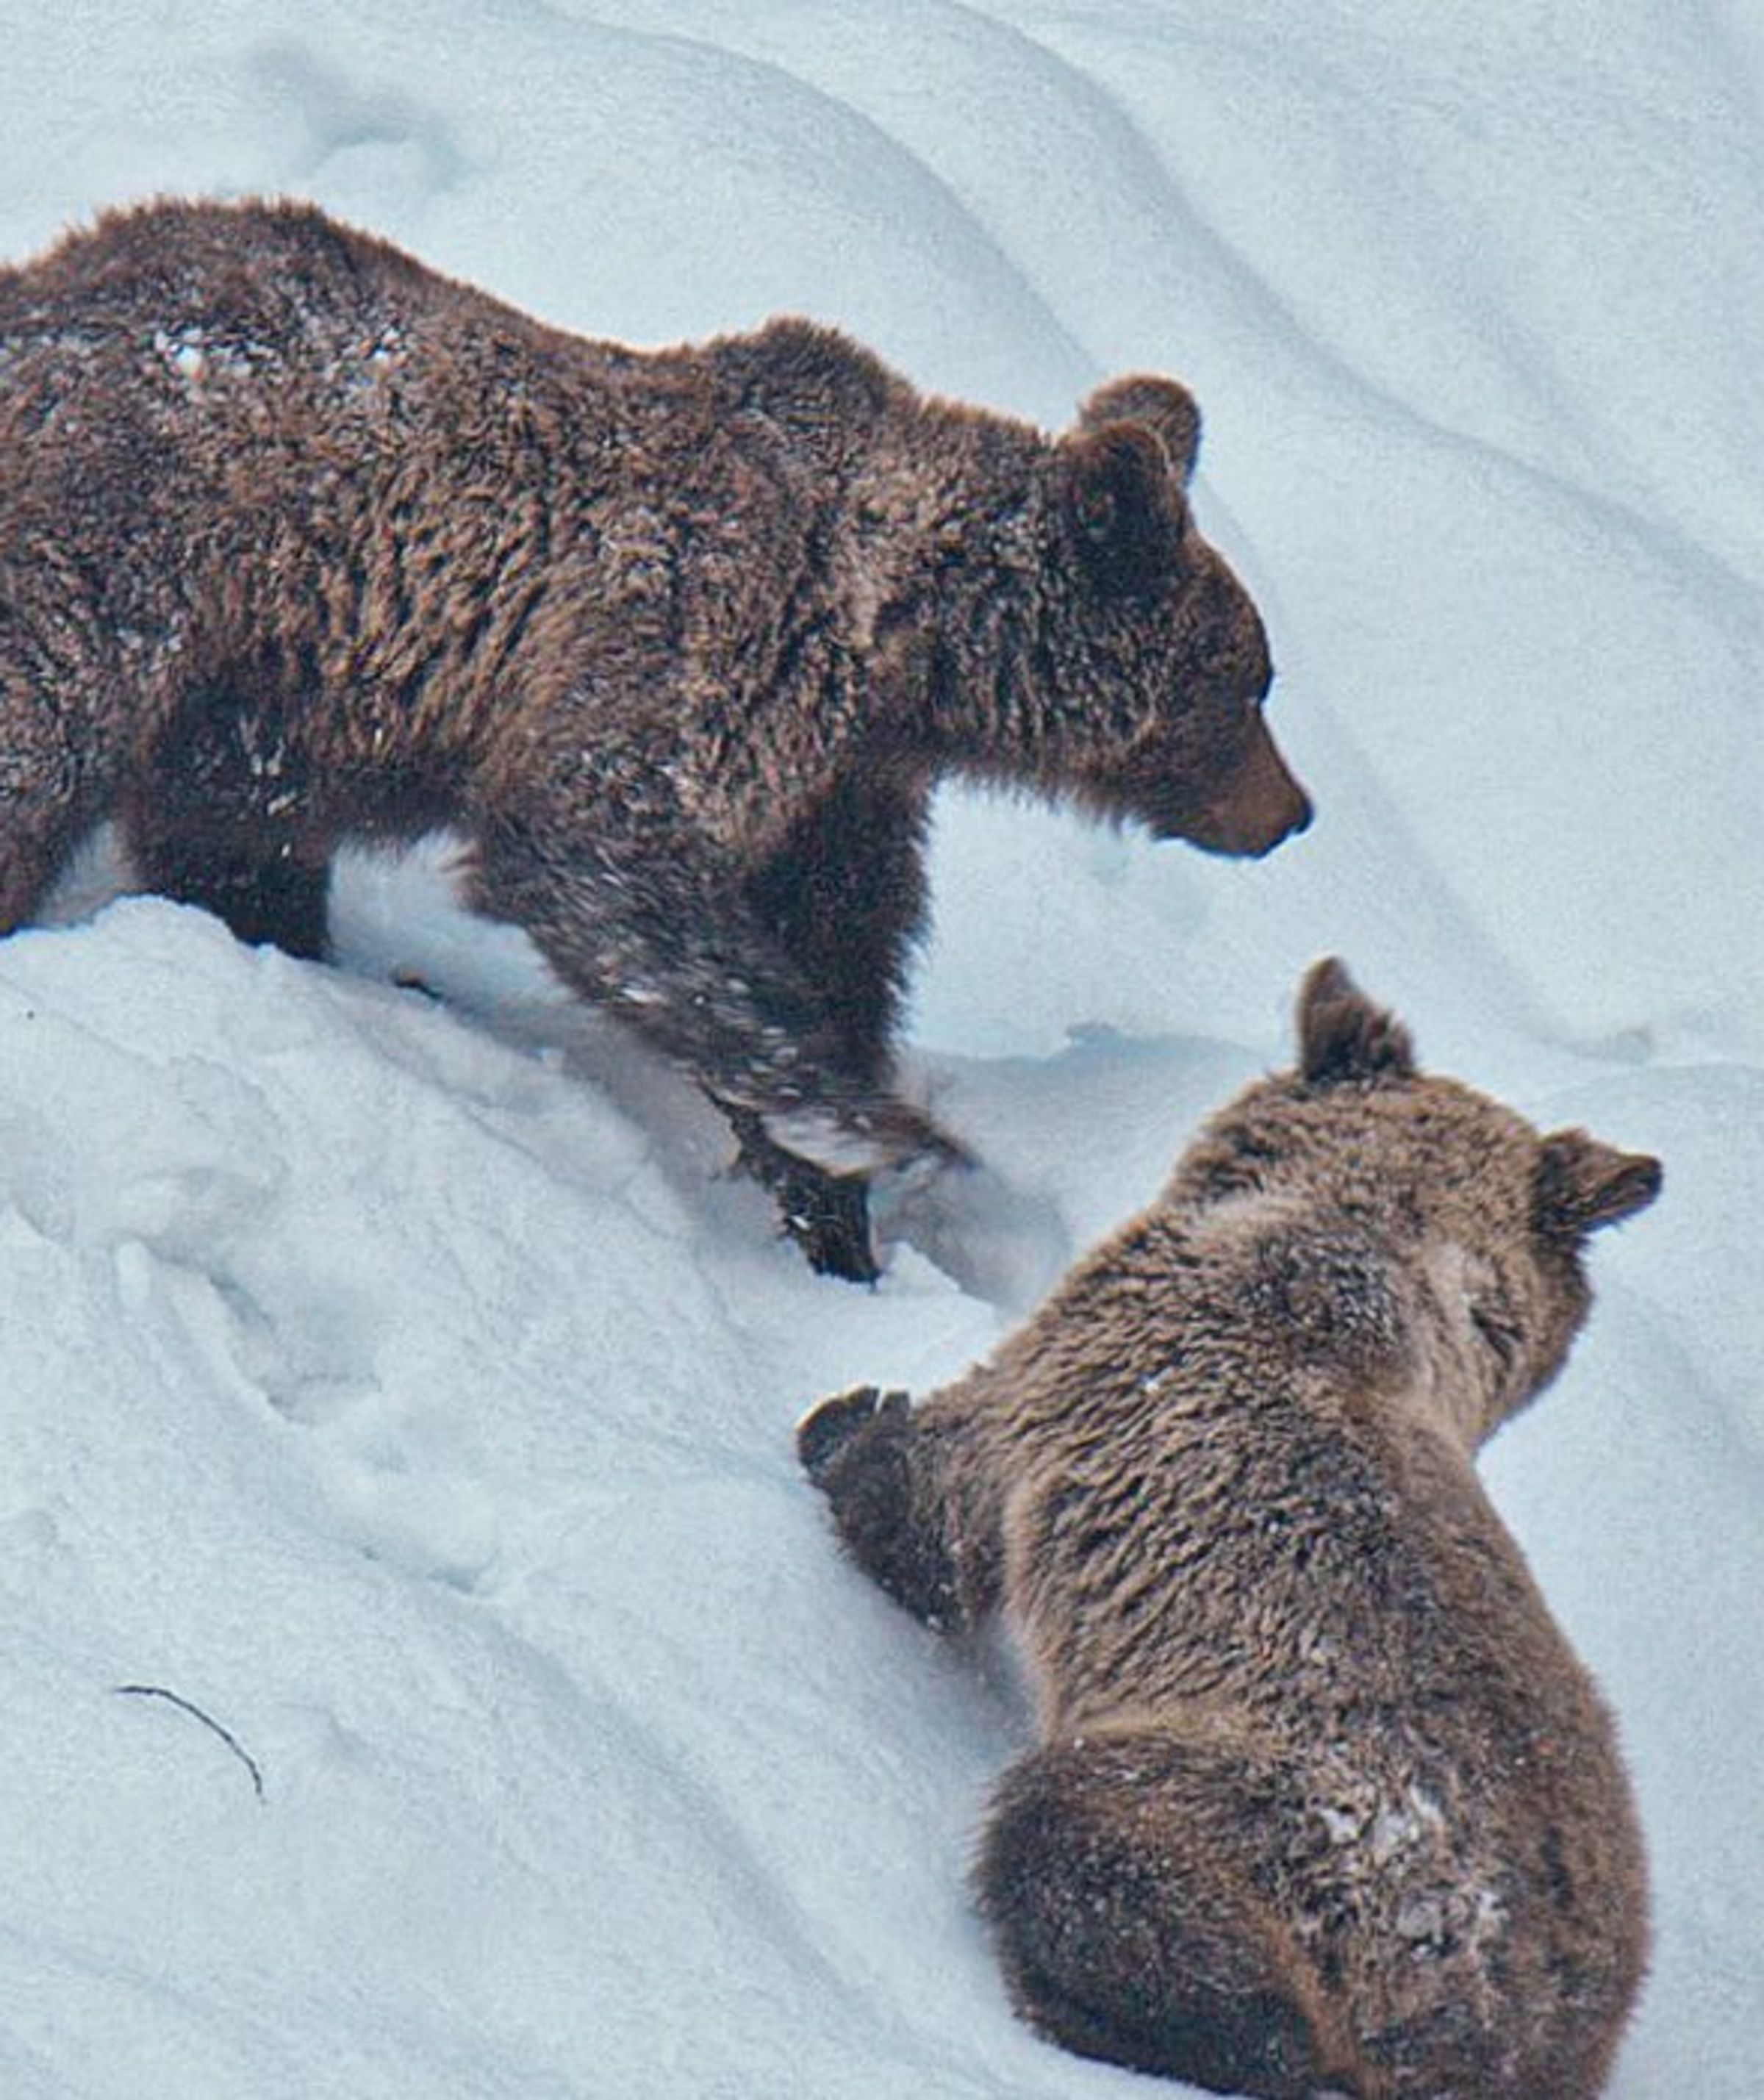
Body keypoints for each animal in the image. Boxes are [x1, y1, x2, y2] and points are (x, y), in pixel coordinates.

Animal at [0, 198, 1309, 1280]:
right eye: (1250, 682)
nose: (1293, 812)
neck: (899, 645)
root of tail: (39, 288)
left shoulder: (841, 788)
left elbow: (840, 943)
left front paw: (834, 1212)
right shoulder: (703, 637)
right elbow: (601, 861)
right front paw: (876, 1127)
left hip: (246, 692)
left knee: (232, 847)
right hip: (133, 543)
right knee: (44, 738)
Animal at [799, 959, 1660, 2096]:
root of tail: (1487, 2030)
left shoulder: (1090, 1368)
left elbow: (939, 1503)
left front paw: (847, 1426)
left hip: (1272, 1825)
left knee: (1084, 1846)